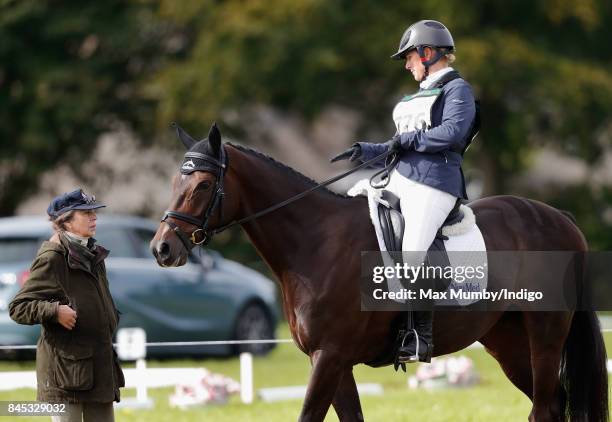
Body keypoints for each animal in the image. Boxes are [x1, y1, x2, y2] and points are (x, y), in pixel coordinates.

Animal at [152, 125, 608, 422]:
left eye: (204, 185)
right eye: (175, 181)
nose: (162, 248)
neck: (316, 241)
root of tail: (559, 218)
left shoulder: (331, 356)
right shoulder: (333, 361)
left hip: (545, 335)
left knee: (545, 408)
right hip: (507, 341)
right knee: (550, 404)